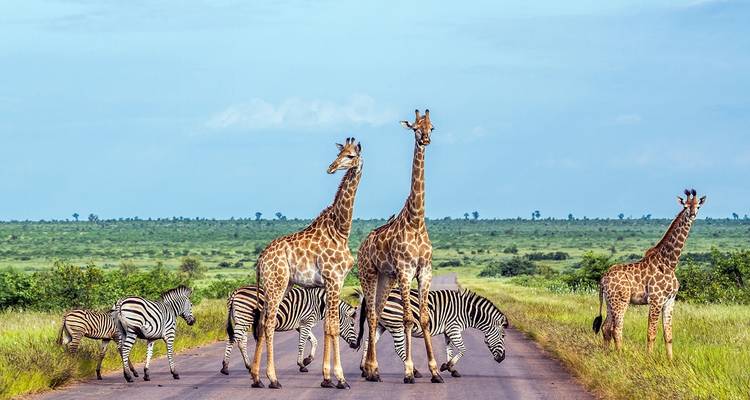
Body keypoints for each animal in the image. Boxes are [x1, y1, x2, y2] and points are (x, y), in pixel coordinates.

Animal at [221, 285, 358, 375]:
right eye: (352, 324)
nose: (356, 345)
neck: (320, 304)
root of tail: (235, 292)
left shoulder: (301, 325)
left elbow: (314, 341)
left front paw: (307, 360)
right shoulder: (306, 322)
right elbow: (302, 343)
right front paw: (301, 365)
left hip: (242, 320)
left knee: (240, 341)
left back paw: (249, 366)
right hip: (244, 318)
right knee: (233, 339)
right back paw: (225, 367)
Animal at [249, 137, 363, 389]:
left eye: (350, 156)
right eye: (340, 154)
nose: (331, 167)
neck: (341, 230)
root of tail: (261, 260)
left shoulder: (332, 283)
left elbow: (328, 327)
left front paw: (327, 378)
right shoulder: (334, 279)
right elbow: (332, 327)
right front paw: (340, 379)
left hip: (280, 285)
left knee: (261, 322)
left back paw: (256, 377)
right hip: (277, 284)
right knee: (268, 323)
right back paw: (273, 379)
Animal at [356, 109, 444, 384]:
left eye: (431, 127)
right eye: (415, 127)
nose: (425, 139)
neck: (416, 220)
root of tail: (362, 246)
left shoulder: (424, 270)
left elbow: (423, 319)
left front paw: (435, 371)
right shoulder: (406, 270)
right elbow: (407, 319)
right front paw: (408, 371)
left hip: (387, 278)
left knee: (376, 312)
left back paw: (371, 369)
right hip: (369, 274)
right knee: (372, 315)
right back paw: (372, 369)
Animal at [357, 288, 508, 378]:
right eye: (503, 336)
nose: (502, 359)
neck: (467, 312)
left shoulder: (448, 331)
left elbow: (449, 349)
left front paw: (451, 369)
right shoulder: (454, 328)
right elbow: (463, 349)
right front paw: (447, 366)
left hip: (381, 325)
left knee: (368, 342)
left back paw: (364, 369)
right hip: (396, 324)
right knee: (399, 348)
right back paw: (414, 371)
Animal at [593, 189, 706, 360]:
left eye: (698, 206)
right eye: (686, 207)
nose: (692, 214)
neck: (669, 263)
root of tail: (603, 279)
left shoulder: (670, 301)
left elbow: (668, 334)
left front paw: (670, 361)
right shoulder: (656, 300)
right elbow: (651, 333)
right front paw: (650, 358)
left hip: (610, 301)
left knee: (606, 327)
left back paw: (607, 354)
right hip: (621, 301)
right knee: (616, 329)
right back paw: (620, 355)